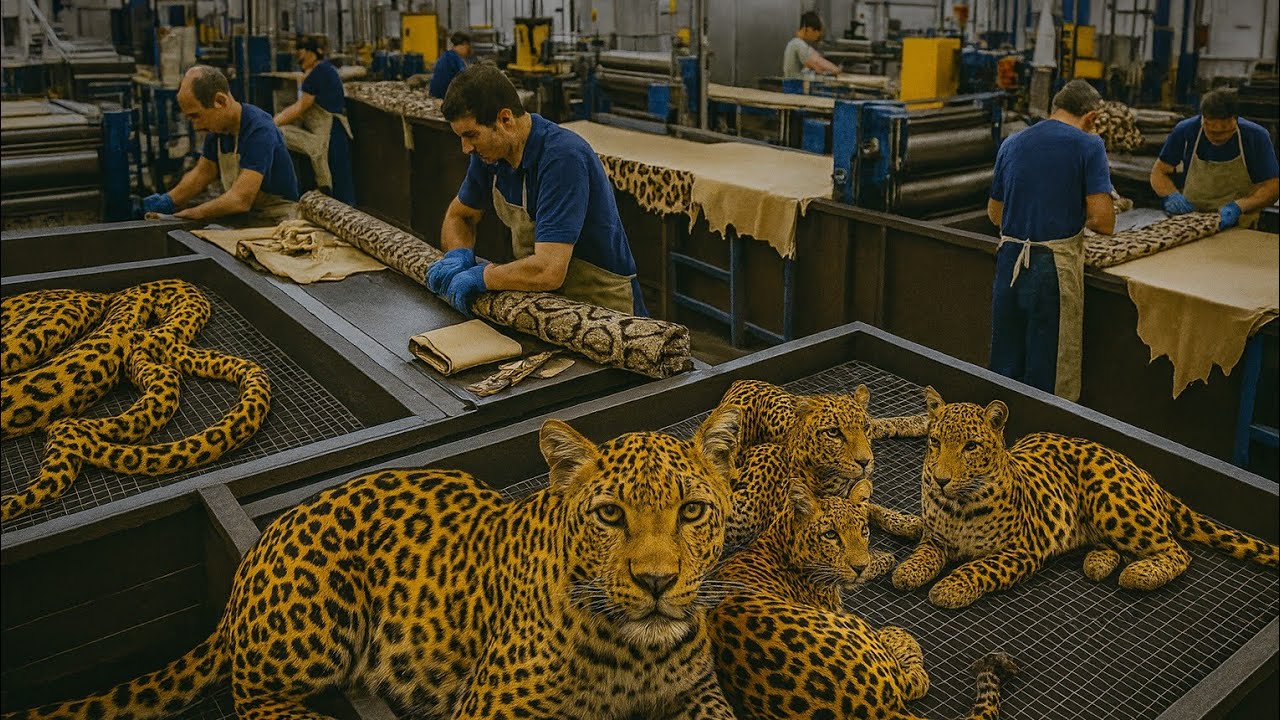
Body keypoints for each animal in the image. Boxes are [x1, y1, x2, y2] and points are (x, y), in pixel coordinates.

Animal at [6, 408, 745, 720]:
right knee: (253, 697)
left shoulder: (698, 692)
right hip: (315, 625)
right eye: (610, 515)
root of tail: (262, 545)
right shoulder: (494, 711)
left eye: (691, 511)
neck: (638, 654)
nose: (657, 582)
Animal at [709, 479, 1018, 719]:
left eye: (863, 532)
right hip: (855, 625)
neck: (779, 540)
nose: (859, 566)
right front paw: (882, 560)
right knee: (915, 680)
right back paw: (898, 634)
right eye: (830, 535)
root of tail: (874, 708)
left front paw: (875, 558)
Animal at [892, 387, 1280, 610]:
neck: (957, 506)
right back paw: (1098, 562)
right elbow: (926, 551)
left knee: (1175, 550)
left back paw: (1140, 573)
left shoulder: (1022, 549)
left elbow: (979, 567)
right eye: (935, 442)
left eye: (971, 447)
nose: (940, 479)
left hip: (1112, 503)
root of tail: (1147, 475)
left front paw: (949, 588)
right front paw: (909, 569)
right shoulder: (936, 536)